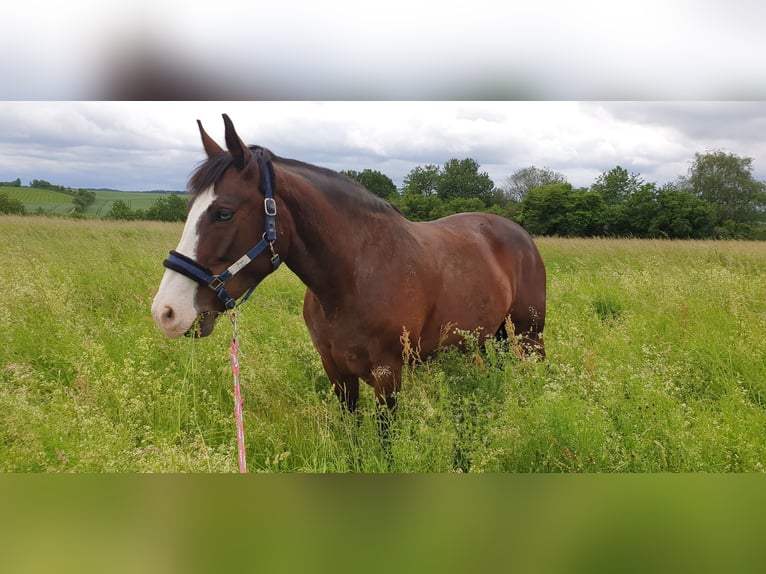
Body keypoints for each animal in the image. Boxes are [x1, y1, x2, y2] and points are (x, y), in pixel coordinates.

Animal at [150, 115, 544, 416]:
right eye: (189, 209)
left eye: (223, 213)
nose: (166, 312)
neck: (353, 279)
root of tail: (518, 232)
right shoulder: (337, 372)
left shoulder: (388, 374)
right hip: (484, 338)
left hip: (529, 335)